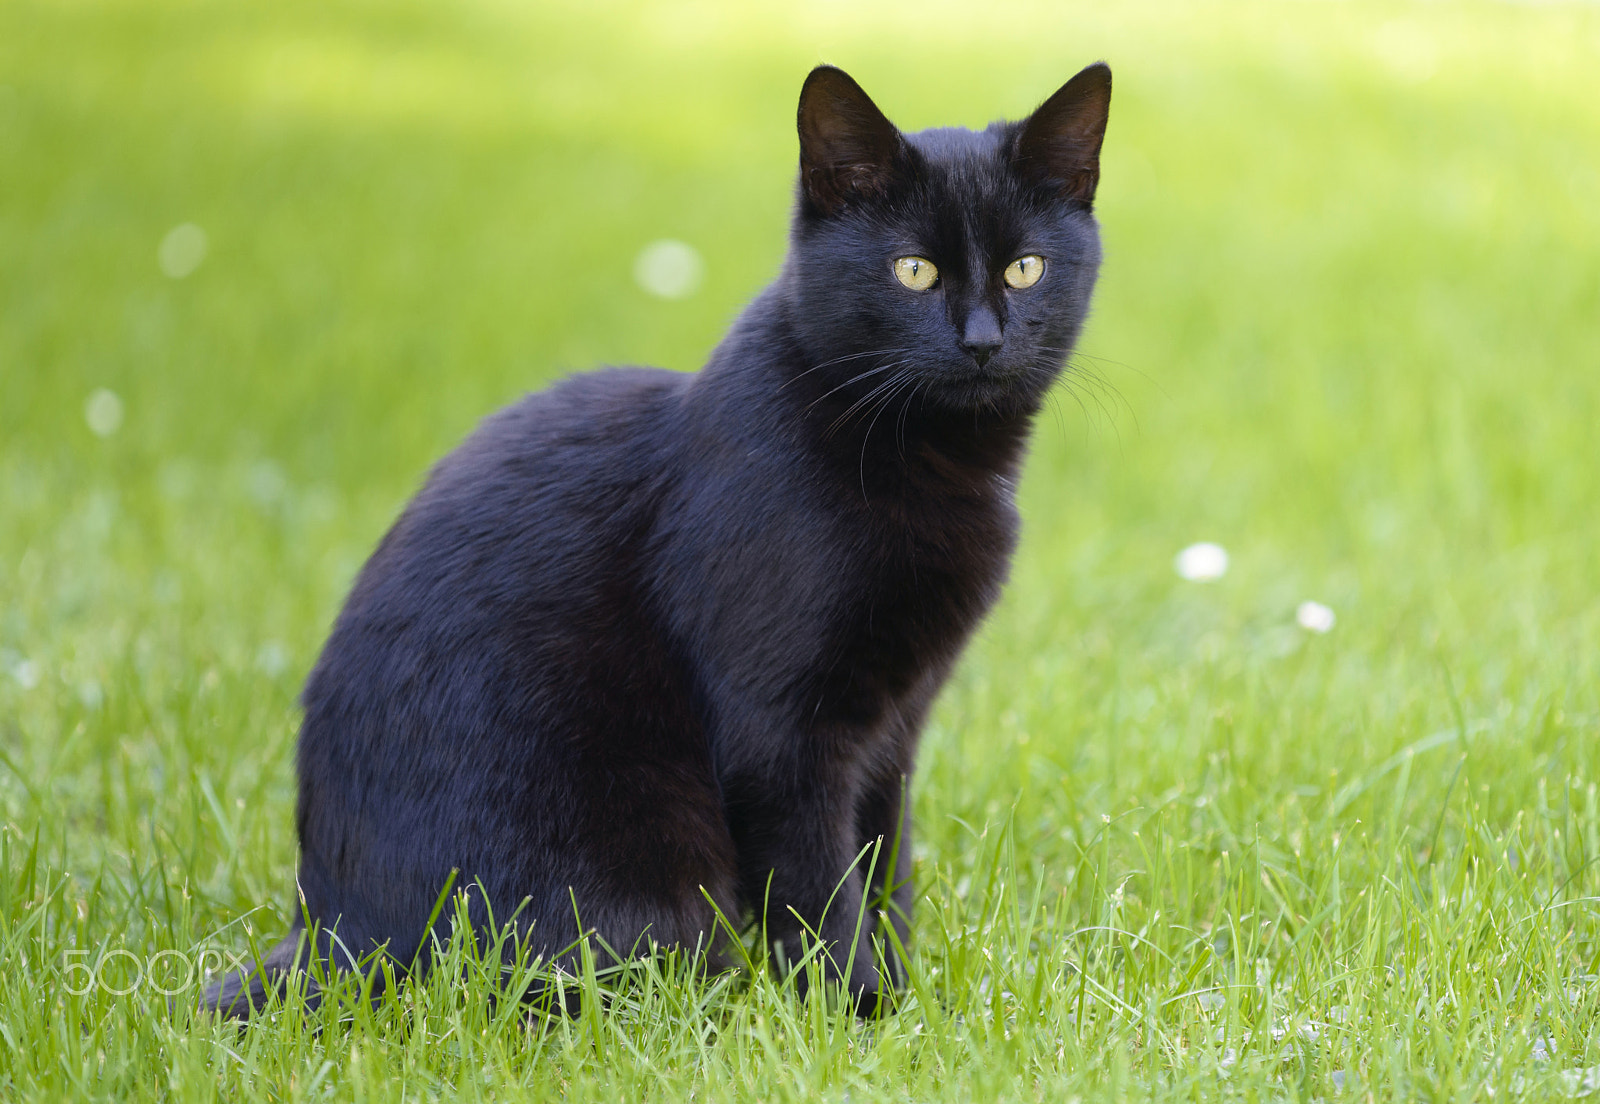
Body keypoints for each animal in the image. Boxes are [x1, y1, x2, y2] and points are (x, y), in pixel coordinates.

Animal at [206, 62, 1113, 1017]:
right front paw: (854, 1014)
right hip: (644, 882)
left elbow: (885, 872)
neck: (925, 460)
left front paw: (909, 1001)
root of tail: (335, 934)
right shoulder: (782, 737)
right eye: (912, 270)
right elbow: (822, 894)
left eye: (1026, 268)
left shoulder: (893, 729)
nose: (982, 340)